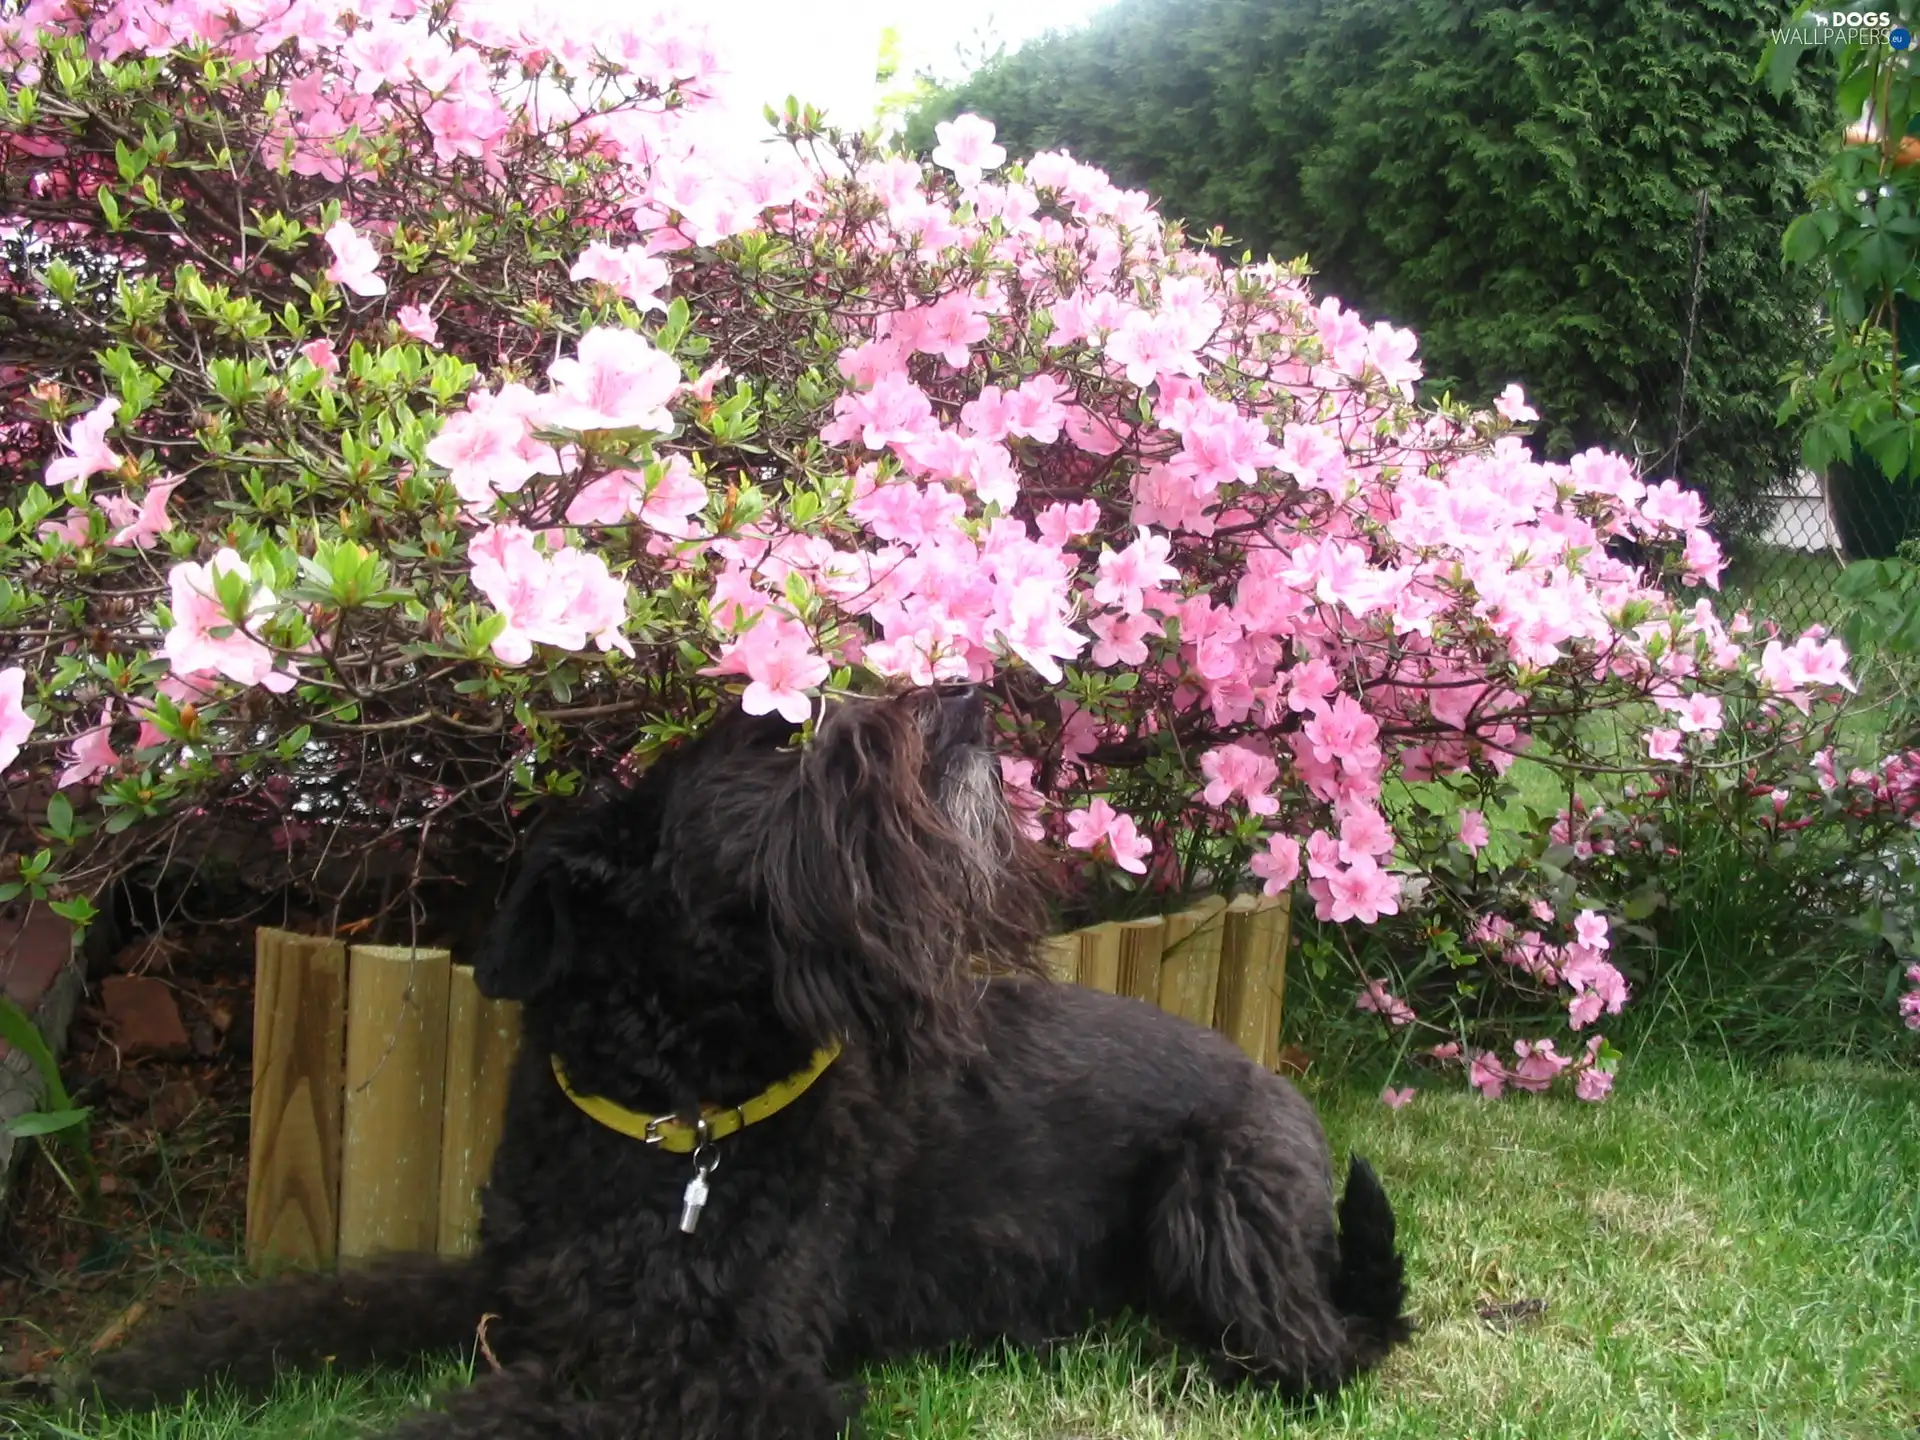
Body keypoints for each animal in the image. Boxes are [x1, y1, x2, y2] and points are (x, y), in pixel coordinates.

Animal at [90, 695, 1413, 1436]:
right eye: (782, 736)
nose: (975, 698)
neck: (673, 1116)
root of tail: (1274, 1083)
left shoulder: (740, 1375)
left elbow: (509, 1416)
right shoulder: (509, 1286)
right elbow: (320, 1303)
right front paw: (129, 1366)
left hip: (1219, 1209)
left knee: (1327, 1353)